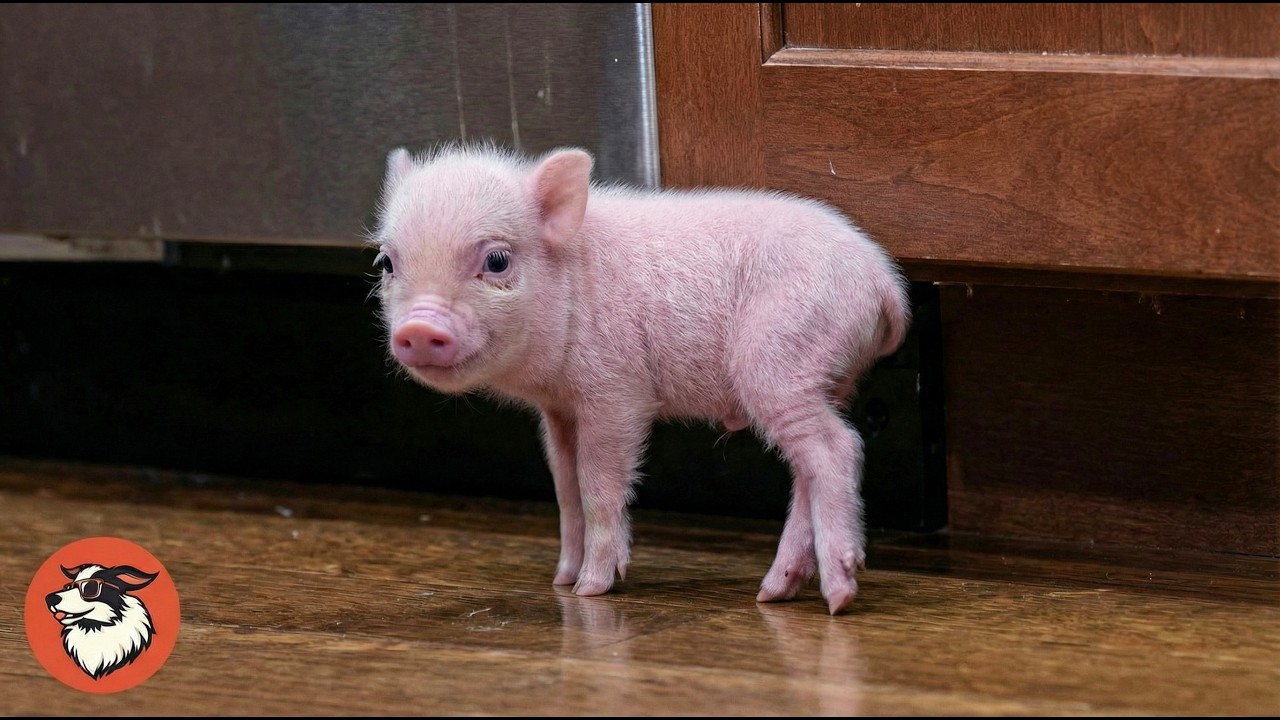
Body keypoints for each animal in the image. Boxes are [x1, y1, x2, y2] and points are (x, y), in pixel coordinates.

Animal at [372, 143, 910, 615]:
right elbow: (565, 486)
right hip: (821, 376)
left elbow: (597, 484)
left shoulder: (616, 393)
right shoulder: (559, 410)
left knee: (837, 447)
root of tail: (884, 281)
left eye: (497, 260)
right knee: (806, 469)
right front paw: (561, 580)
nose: (418, 329)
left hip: (778, 361)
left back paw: (837, 598)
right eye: (387, 263)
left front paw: (590, 590)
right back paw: (773, 593)